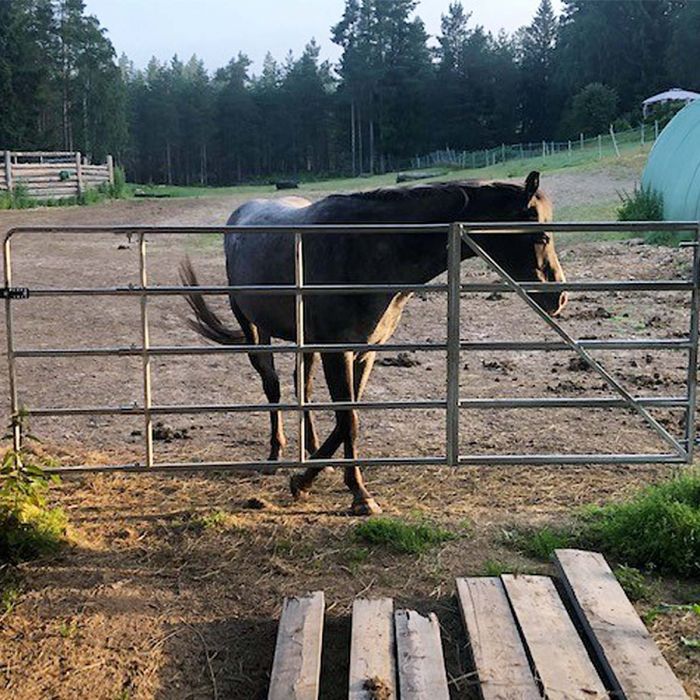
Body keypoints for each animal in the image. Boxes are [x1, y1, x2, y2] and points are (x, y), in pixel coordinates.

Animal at [179, 171, 564, 516]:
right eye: (541, 236)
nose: (559, 297)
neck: (364, 248)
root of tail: (241, 213)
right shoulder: (339, 352)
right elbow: (347, 420)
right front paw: (356, 494)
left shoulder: (365, 352)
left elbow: (348, 417)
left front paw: (311, 478)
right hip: (254, 327)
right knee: (272, 386)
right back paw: (274, 455)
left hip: (306, 341)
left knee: (302, 386)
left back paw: (311, 452)